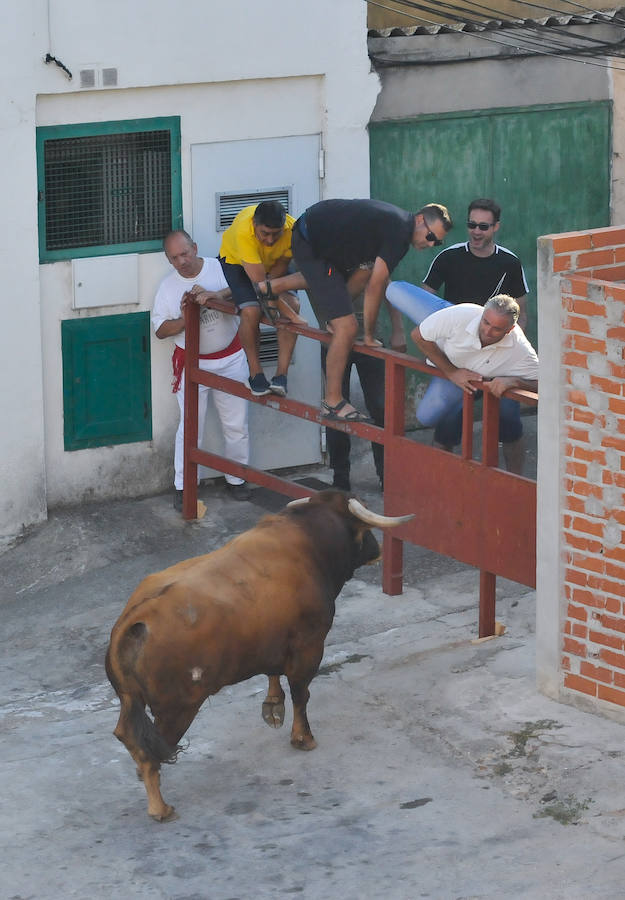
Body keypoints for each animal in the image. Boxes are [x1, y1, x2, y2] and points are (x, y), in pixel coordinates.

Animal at [105, 488, 412, 820]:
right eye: (364, 527)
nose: (377, 550)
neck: (310, 540)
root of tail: (135, 620)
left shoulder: (274, 642)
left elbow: (274, 672)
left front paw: (273, 705)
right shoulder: (309, 645)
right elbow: (301, 693)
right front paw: (303, 738)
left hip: (132, 701)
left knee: (127, 735)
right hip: (177, 709)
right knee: (149, 751)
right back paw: (160, 808)